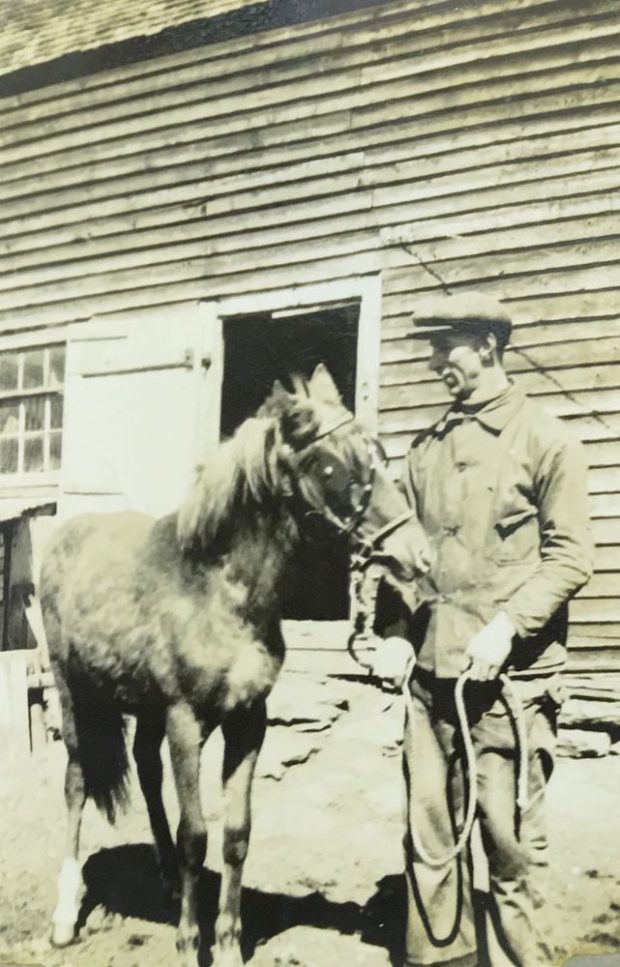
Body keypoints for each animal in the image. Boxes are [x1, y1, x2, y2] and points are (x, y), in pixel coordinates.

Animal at [40, 364, 432, 967]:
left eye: (377, 456)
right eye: (330, 466)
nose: (420, 555)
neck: (221, 591)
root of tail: (65, 535)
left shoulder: (248, 720)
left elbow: (236, 834)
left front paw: (225, 943)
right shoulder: (186, 721)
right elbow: (195, 835)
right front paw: (187, 944)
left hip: (145, 707)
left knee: (146, 770)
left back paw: (169, 883)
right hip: (74, 692)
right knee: (78, 781)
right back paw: (65, 916)